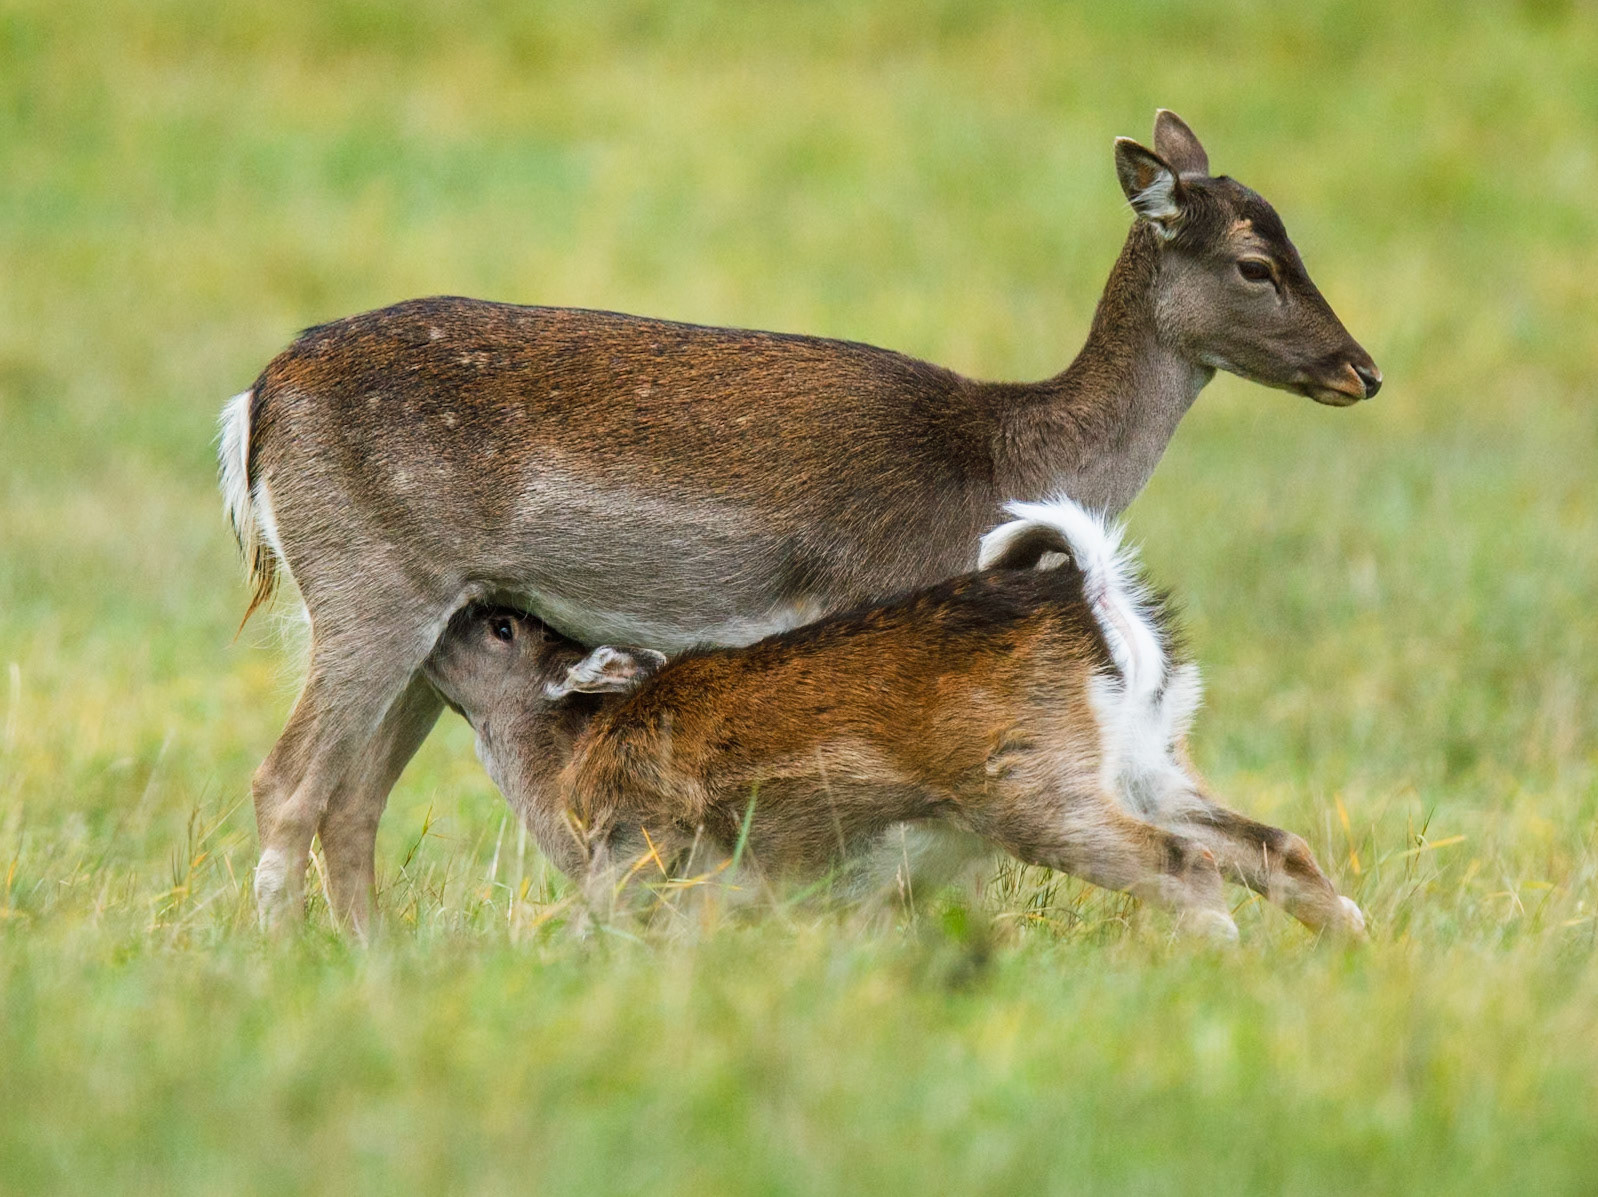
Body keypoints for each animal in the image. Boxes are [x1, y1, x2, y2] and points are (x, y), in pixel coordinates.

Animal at [421, 497, 1367, 941]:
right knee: (1273, 842)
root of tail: (1090, 596)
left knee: (1184, 860)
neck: (564, 777)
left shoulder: (640, 850)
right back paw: (1353, 939)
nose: (443, 619)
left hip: (1031, 783)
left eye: (501, 626)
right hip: (1154, 759)